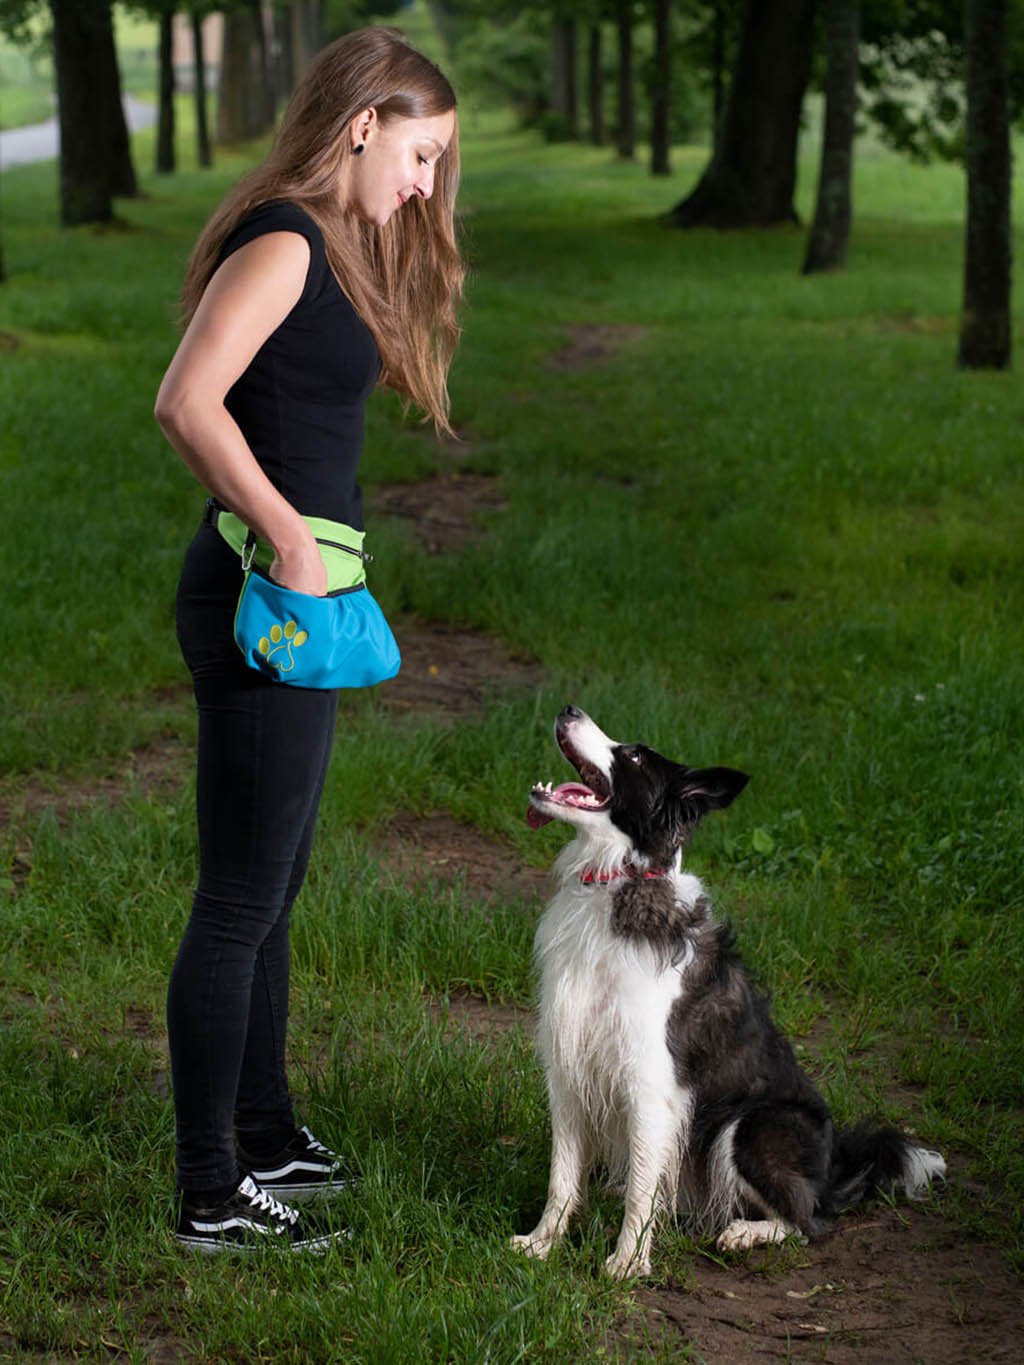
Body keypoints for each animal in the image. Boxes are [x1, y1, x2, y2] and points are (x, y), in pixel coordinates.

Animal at [513, 715, 944, 1277]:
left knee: (808, 1222)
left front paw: (627, 1264)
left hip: (751, 1125)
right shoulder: (568, 1067)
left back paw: (745, 1233)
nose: (567, 711)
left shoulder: (652, 1083)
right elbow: (562, 1175)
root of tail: (834, 1171)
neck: (618, 883)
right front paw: (543, 1244)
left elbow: (642, 1188)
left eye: (633, 757)